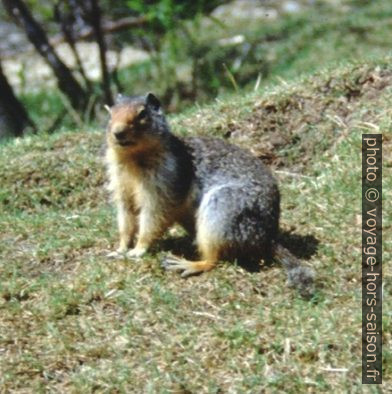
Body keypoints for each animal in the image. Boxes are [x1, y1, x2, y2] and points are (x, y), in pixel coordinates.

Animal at [105, 93, 316, 296]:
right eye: (111, 114)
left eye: (142, 114)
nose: (117, 132)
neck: (133, 158)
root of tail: (268, 237)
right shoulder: (121, 186)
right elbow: (125, 219)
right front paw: (119, 249)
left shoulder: (161, 185)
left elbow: (153, 217)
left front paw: (138, 250)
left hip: (222, 210)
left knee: (215, 259)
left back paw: (185, 264)